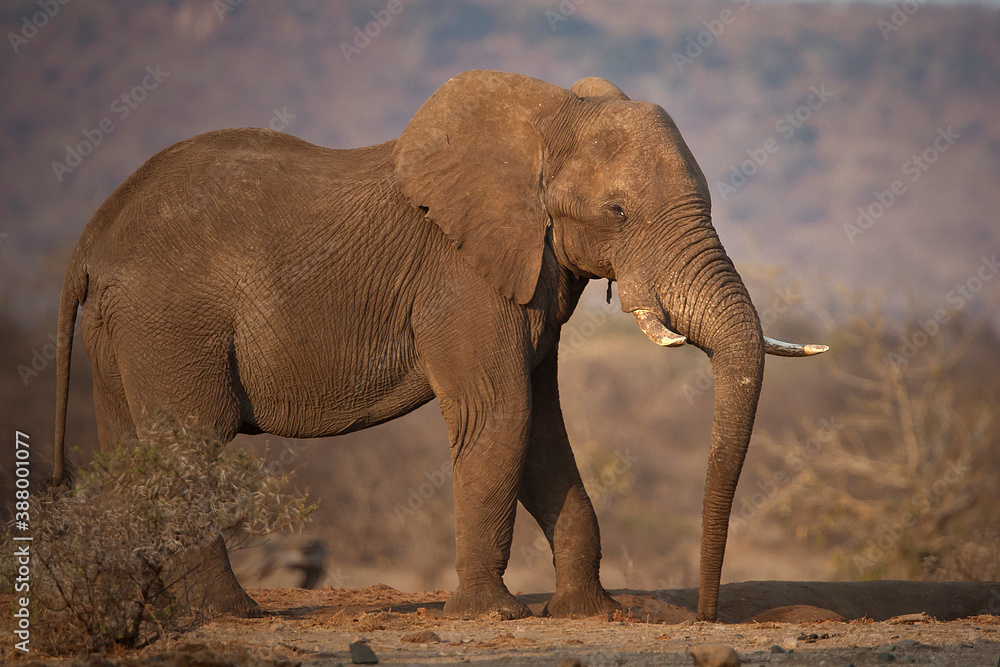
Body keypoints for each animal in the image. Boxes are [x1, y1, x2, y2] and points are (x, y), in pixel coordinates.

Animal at [53, 70, 826, 622]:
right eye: (618, 212)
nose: (707, 619)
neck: (549, 114)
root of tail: (91, 235)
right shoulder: (463, 279)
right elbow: (502, 415)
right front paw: (493, 614)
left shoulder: (531, 274)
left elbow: (543, 432)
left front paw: (591, 612)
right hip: (170, 319)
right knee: (188, 445)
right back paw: (228, 614)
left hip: (123, 332)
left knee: (132, 451)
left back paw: (149, 612)